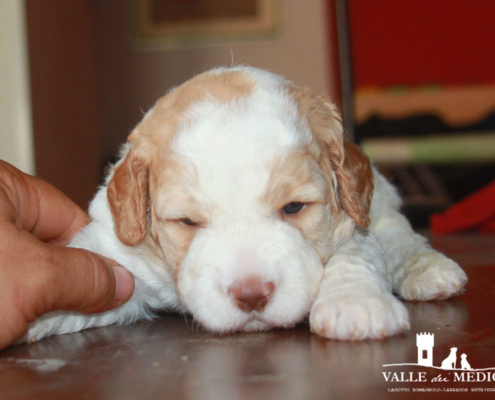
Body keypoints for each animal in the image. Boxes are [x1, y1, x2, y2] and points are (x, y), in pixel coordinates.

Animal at [20, 67, 468, 342]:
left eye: (294, 208)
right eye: (186, 221)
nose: (252, 295)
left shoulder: (350, 225)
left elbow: (356, 256)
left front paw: (356, 305)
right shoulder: (121, 253)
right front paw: (41, 313)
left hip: (383, 201)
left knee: (398, 234)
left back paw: (430, 270)